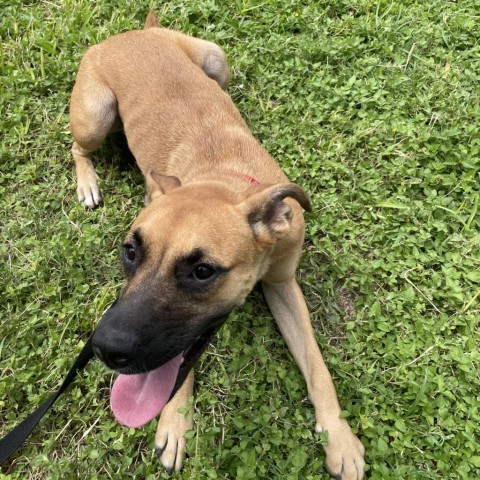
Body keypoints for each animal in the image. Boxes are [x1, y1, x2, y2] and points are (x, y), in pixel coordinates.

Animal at [69, 11, 364, 480]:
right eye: (130, 251)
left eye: (202, 271)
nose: (104, 349)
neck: (224, 179)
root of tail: (135, 32)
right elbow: (177, 371)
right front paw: (174, 423)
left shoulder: (283, 284)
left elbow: (317, 367)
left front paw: (340, 437)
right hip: (96, 115)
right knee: (76, 145)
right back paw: (87, 182)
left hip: (216, 60)